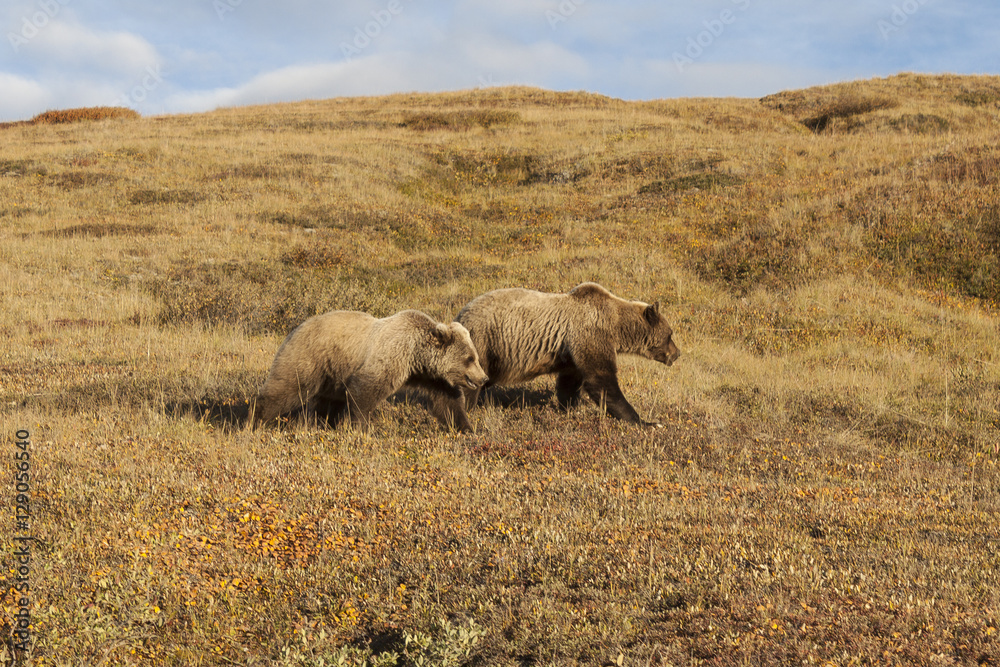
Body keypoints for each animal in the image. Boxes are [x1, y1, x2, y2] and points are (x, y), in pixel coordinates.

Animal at [253, 309, 489, 430]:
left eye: (475, 356)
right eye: (469, 358)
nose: (484, 378)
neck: (416, 356)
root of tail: (294, 329)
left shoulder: (432, 376)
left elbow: (448, 400)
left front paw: (465, 427)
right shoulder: (391, 356)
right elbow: (365, 391)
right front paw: (360, 427)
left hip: (332, 374)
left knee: (327, 402)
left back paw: (323, 423)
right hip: (310, 358)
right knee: (286, 388)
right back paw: (254, 420)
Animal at [432, 282, 680, 429]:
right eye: (670, 333)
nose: (676, 354)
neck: (617, 327)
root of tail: (460, 314)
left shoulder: (571, 353)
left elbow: (570, 382)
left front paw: (568, 408)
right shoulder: (590, 334)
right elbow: (602, 381)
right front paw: (647, 422)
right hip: (485, 342)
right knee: (468, 382)